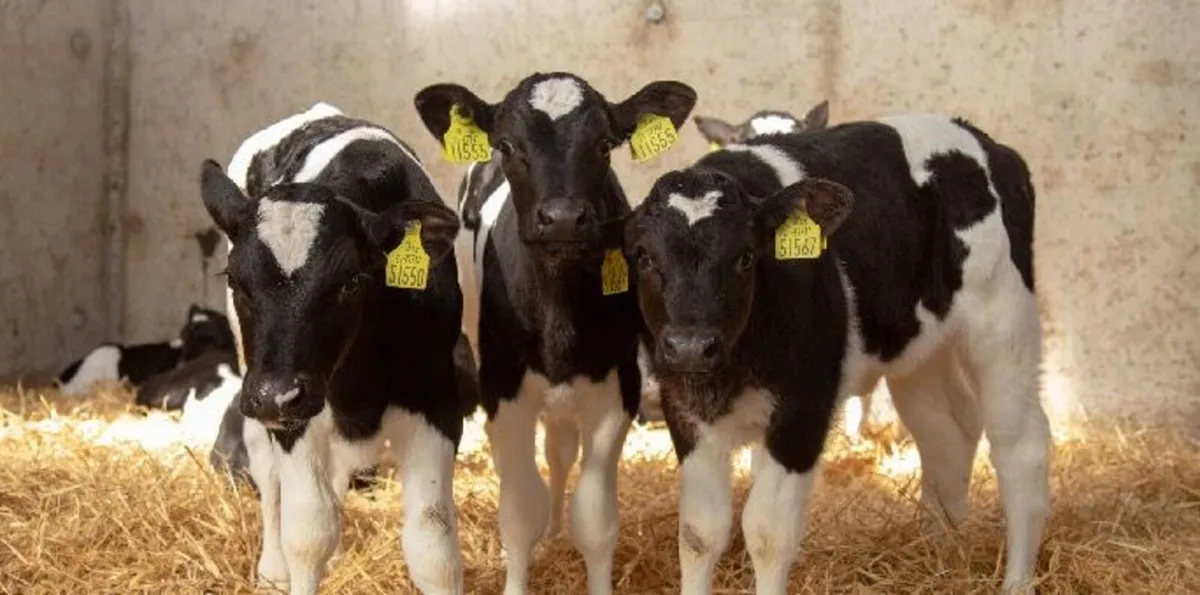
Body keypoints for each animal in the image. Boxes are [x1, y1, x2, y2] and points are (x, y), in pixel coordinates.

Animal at [200, 102, 475, 595]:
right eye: (235, 280)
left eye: (349, 282)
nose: (275, 395)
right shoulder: (293, 415)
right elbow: (308, 534)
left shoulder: (438, 403)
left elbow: (433, 545)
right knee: (268, 469)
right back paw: (272, 569)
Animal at [414, 72, 697, 595]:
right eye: (508, 145)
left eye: (604, 144)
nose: (563, 217)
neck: (559, 313)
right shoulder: (503, 390)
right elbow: (519, 509)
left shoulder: (618, 388)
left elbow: (595, 519)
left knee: (561, 451)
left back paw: (556, 528)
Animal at [622, 114, 1051, 594]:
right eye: (643, 257)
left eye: (746, 257)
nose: (692, 346)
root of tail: (983, 139)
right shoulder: (684, 408)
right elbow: (700, 532)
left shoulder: (804, 407)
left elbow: (768, 534)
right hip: (920, 350)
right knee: (947, 432)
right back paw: (941, 554)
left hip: (1003, 323)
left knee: (1021, 446)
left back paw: (1015, 580)